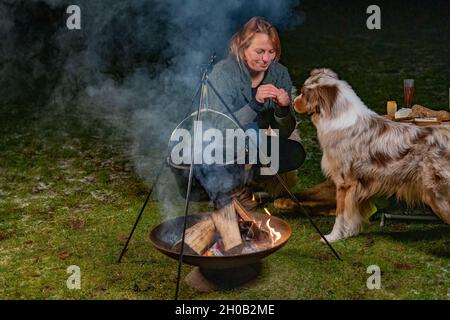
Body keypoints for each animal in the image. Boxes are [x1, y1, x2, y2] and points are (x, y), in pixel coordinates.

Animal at [294, 68, 450, 242]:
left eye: (303, 93)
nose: (292, 101)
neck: (337, 117)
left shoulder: (343, 182)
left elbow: (340, 214)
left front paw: (332, 237)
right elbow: (352, 214)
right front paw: (349, 232)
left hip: (440, 193)